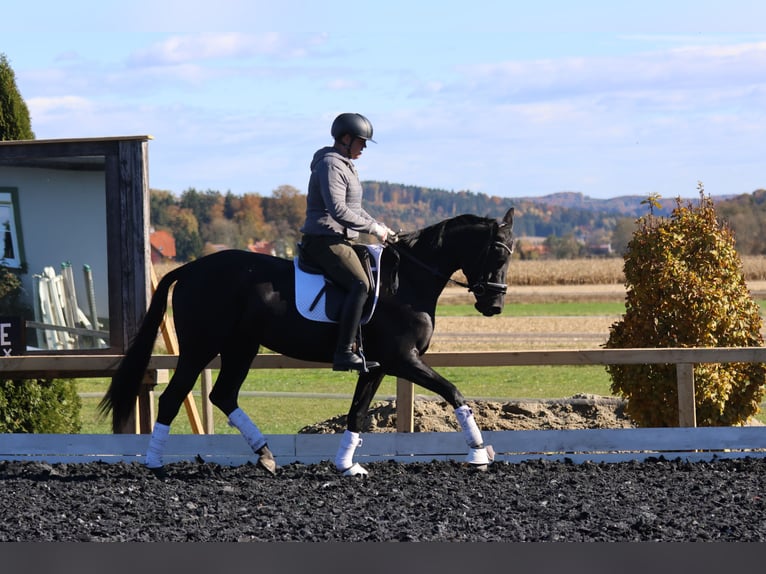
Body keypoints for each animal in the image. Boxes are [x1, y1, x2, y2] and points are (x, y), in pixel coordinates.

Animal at [99, 208, 515, 477]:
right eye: (497, 250)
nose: (494, 305)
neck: (407, 282)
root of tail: (188, 269)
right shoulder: (404, 360)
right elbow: (454, 392)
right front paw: (479, 454)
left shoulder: (378, 367)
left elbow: (358, 412)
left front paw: (347, 465)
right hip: (201, 348)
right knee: (174, 397)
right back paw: (155, 464)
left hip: (241, 347)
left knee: (224, 395)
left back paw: (266, 455)